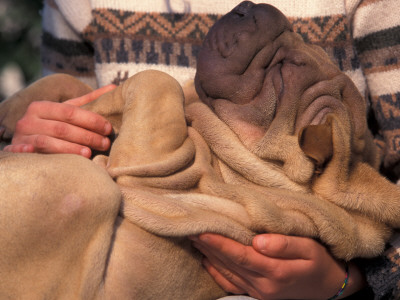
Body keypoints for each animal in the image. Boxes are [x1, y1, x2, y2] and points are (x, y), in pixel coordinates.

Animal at [0, 0, 400, 300]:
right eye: (305, 43)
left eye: (282, 70)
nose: (250, 7)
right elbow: (78, 84)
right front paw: (14, 112)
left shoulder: (157, 169)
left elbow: (156, 80)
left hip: (89, 187)